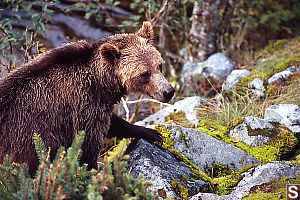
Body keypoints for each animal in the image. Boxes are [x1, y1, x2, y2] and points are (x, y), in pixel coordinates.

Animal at [0, 21, 173, 176]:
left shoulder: (97, 104)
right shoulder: (82, 105)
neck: (101, 82)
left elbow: (115, 124)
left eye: (159, 65)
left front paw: (151, 133)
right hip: (25, 142)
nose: (168, 91)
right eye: (144, 73)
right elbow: (89, 146)